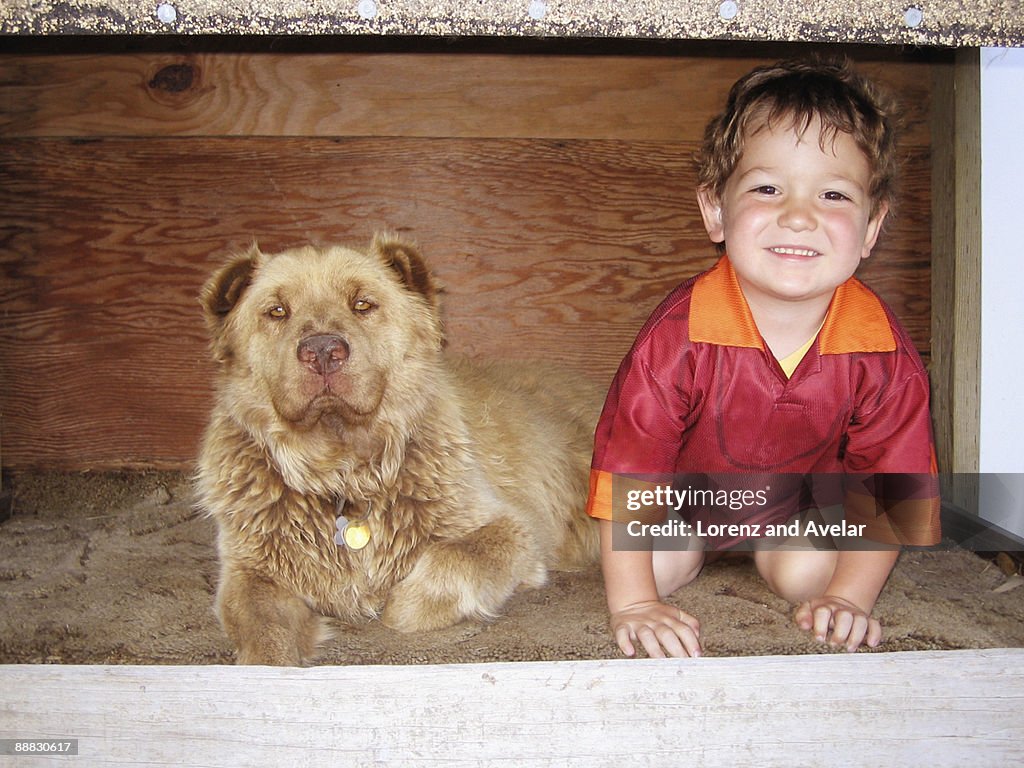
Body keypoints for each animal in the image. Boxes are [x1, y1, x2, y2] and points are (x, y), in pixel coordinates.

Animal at [193, 236, 598, 667]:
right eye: (277, 311)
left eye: (362, 304)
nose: (323, 351)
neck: (342, 471)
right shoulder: (249, 569)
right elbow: (263, 632)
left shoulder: (511, 526)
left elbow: (444, 567)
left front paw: (394, 603)